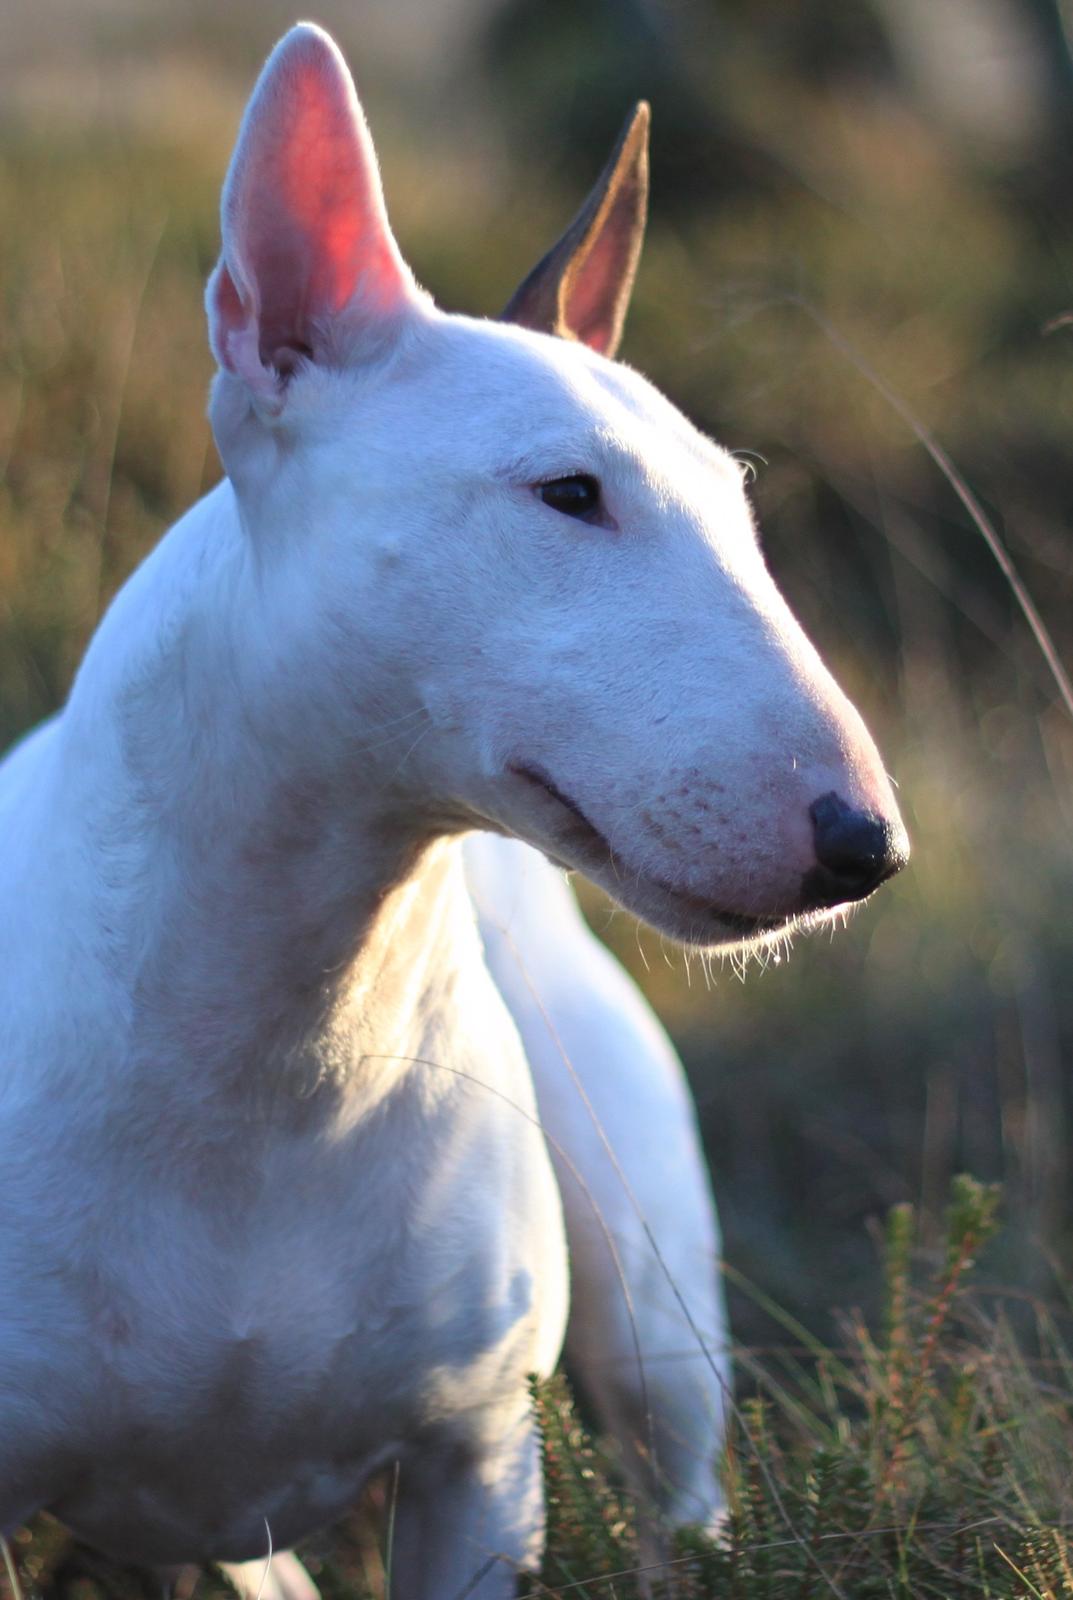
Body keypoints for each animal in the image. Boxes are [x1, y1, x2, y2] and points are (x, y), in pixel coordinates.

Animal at [0, 25, 908, 1600]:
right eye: (567, 491)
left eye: (741, 509)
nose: (864, 848)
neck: (277, 1046)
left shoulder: (476, 1468)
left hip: (647, 1285)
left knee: (678, 1481)